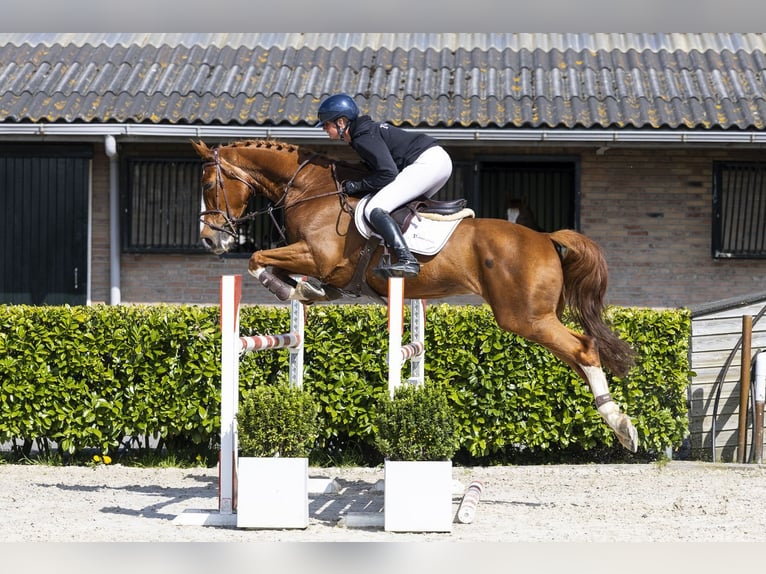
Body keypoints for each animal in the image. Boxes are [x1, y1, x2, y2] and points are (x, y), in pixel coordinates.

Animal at [192, 138, 639, 453]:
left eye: (210, 184)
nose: (211, 240)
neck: (309, 190)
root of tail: (546, 238)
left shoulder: (318, 256)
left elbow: (258, 258)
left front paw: (293, 287)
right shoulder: (308, 258)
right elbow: (273, 264)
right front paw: (302, 288)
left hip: (525, 317)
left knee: (584, 350)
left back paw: (621, 425)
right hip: (534, 318)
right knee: (580, 356)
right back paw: (617, 420)